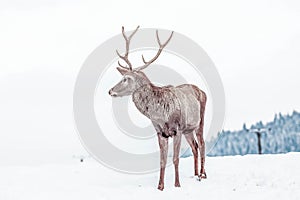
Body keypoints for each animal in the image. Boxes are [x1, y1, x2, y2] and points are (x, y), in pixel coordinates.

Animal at [109, 26, 207, 191]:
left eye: (125, 79)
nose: (110, 91)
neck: (160, 115)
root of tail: (201, 90)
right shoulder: (160, 132)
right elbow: (162, 161)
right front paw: (160, 186)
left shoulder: (177, 129)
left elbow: (175, 159)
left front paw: (177, 184)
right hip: (188, 129)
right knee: (194, 146)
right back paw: (195, 175)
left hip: (199, 120)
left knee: (202, 144)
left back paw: (202, 175)